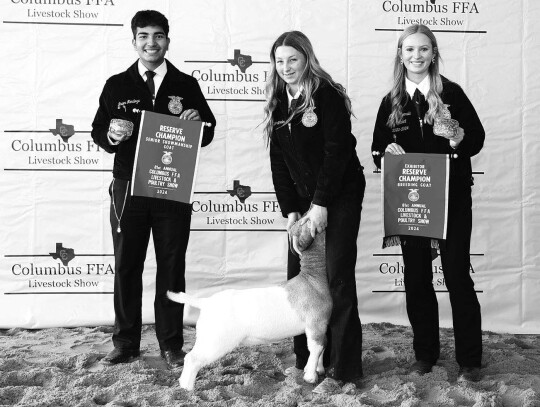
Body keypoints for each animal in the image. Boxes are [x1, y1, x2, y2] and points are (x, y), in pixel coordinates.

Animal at [167, 220, 332, 392]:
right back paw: (187, 389)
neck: (312, 280)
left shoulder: (322, 325)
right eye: (306, 223)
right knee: (192, 358)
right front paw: (310, 376)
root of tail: (206, 302)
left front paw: (319, 369)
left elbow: (323, 345)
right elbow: (316, 347)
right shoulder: (315, 323)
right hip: (215, 339)